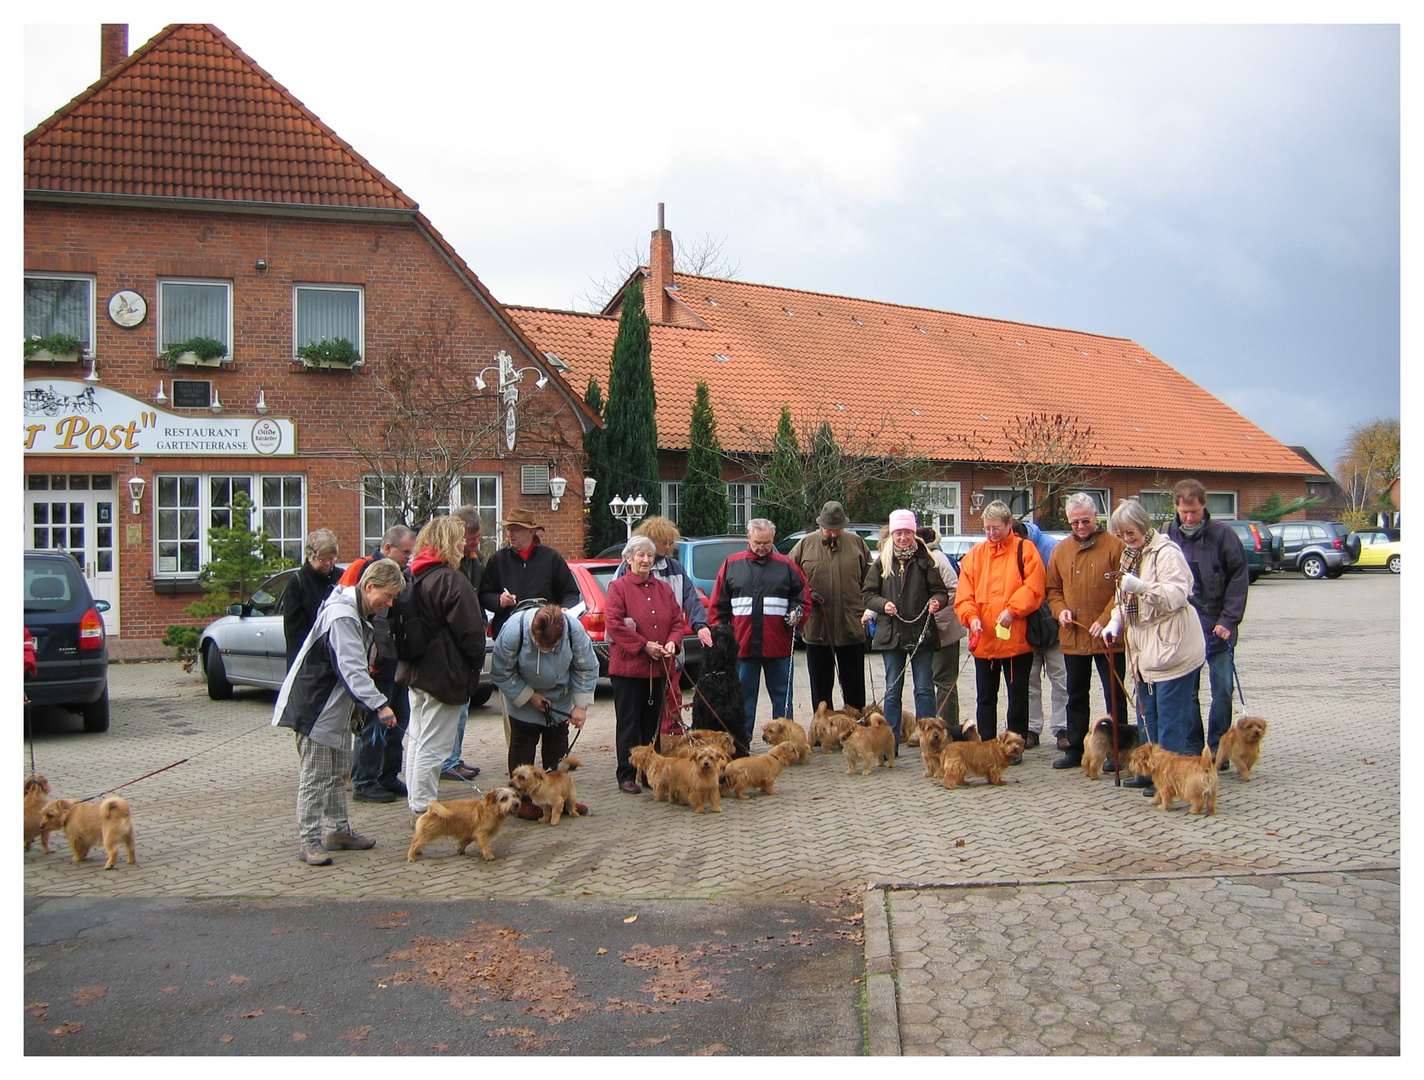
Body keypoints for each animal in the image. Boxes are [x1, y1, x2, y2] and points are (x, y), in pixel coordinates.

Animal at [692, 626, 757, 763]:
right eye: (712, 628)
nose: (721, 627)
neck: (718, 673)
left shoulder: (735, 717)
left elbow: (738, 739)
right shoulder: (702, 718)